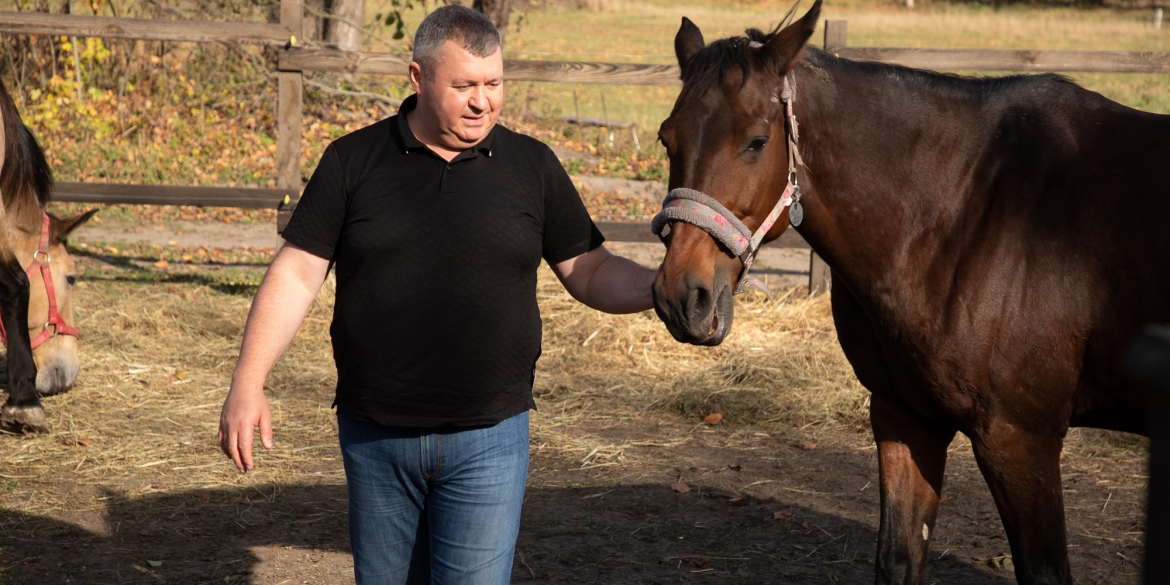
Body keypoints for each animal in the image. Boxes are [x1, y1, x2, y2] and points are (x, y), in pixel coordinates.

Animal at [650, 2, 1170, 582]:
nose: (682, 296)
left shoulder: (1020, 439)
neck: (966, 211)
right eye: (667, 139)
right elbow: (898, 557)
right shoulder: (906, 417)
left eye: (757, 141)